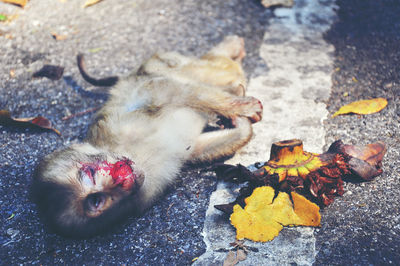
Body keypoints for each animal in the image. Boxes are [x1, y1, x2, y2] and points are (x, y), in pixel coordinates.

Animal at [30, 36, 262, 238]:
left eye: (90, 173)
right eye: (97, 201)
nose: (120, 182)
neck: (131, 152)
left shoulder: (120, 125)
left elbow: (166, 91)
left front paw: (240, 107)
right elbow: (196, 148)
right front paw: (241, 125)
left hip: (159, 65)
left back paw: (230, 52)